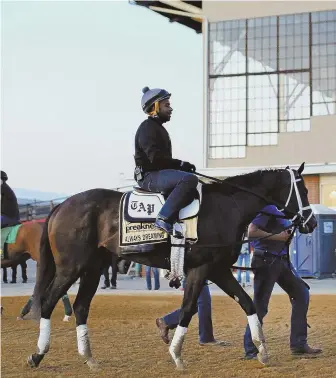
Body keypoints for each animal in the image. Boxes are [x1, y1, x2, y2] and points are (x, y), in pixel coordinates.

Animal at [28, 165, 316, 370]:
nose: (311, 222)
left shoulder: (219, 270)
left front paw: (262, 351)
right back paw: (38, 354)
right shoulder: (203, 269)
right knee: (48, 301)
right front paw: (176, 354)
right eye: (303, 190)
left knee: (81, 307)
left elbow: (248, 303)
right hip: (71, 268)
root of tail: (62, 205)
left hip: (92, 269)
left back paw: (88, 358)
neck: (227, 207)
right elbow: (188, 308)